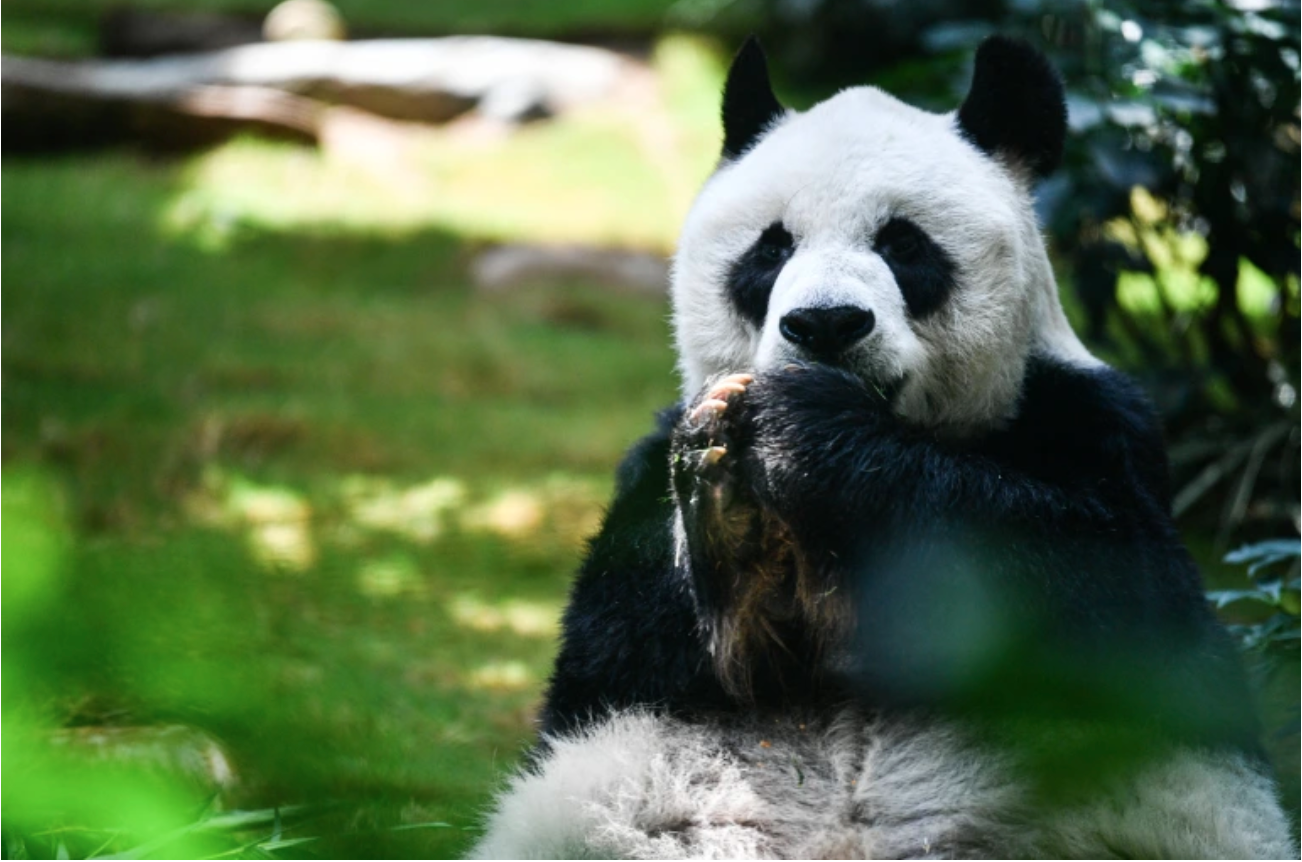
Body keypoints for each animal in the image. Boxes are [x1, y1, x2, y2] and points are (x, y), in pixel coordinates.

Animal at [471, 37, 1294, 859]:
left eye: (904, 244)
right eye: (771, 250)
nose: (826, 324)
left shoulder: (1098, 425)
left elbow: (1113, 590)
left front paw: (809, 430)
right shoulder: (647, 480)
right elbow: (618, 643)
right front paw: (729, 523)